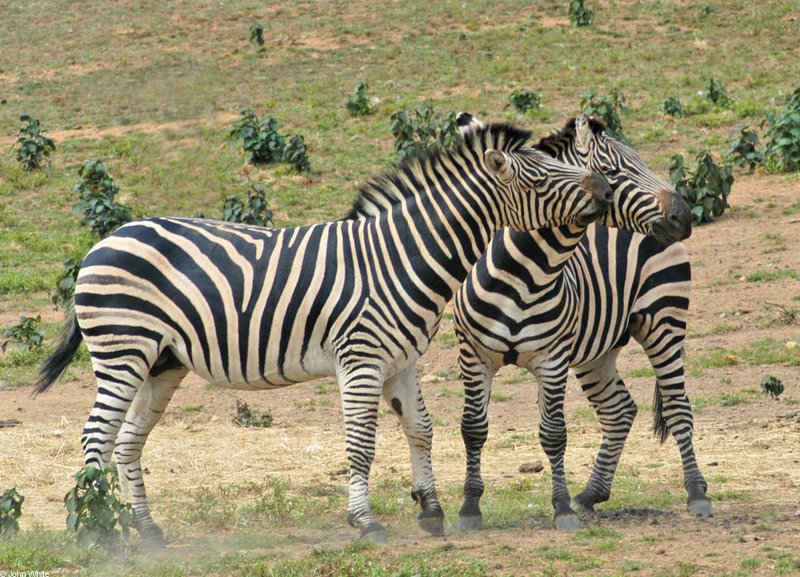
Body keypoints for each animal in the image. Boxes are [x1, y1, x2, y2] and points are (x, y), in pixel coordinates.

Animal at [36, 120, 612, 544]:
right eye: (539, 179)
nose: (604, 189)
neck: (401, 257)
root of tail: (105, 240)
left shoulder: (402, 361)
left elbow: (420, 430)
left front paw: (431, 511)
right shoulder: (361, 359)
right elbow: (360, 446)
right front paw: (366, 522)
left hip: (162, 362)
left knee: (127, 441)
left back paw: (148, 532)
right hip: (122, 351)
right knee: (96, 436)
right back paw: (98, 534)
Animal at [454, 112, 708, 532]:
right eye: (614, 172)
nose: (684, 216)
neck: (519, 276)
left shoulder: (552, 359)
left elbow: (553, 434)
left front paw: (561, 509)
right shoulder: (473, 356)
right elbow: (473, 428)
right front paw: (470, 507)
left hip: (663, 320)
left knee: (677, 406)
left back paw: (697, 492)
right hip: (597, 348)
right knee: (618, 410)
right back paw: (591, 494)